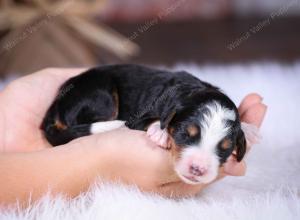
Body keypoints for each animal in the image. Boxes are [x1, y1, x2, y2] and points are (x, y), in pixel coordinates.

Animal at [41, 63, 258, 184]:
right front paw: (159, 132)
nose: (198, 169)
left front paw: (249, 130)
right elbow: (152, 119)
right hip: (101, 95)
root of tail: (55, 105)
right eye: (185, 134)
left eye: (225, 148)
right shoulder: (137, 117)